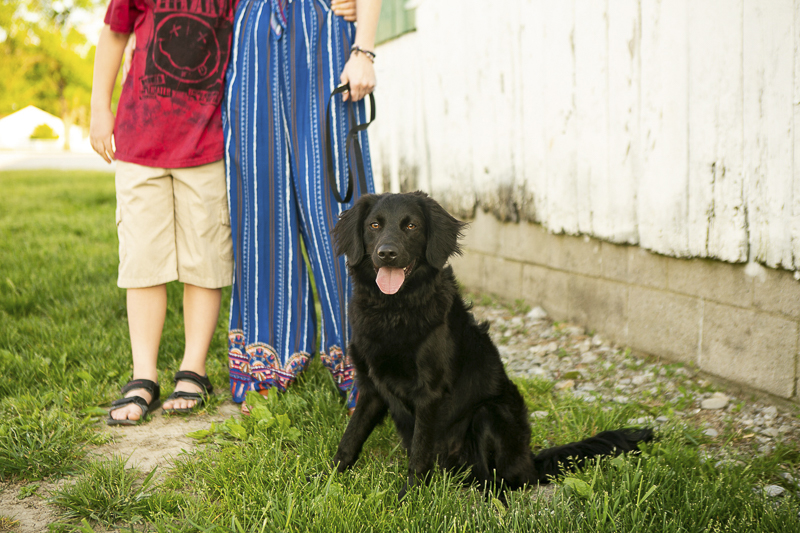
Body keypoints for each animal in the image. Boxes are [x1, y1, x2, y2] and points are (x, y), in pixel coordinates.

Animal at [332, 189, 648, 496]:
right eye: (374, 226)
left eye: (411, 226)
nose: (387, 253)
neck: (392, 309)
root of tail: (529, 461)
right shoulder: (370, 386)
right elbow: (350, 438)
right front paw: (327, 481)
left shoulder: (429, 392)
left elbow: (419, 454)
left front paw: (408, 498)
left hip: (490, 414)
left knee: (499, 481)